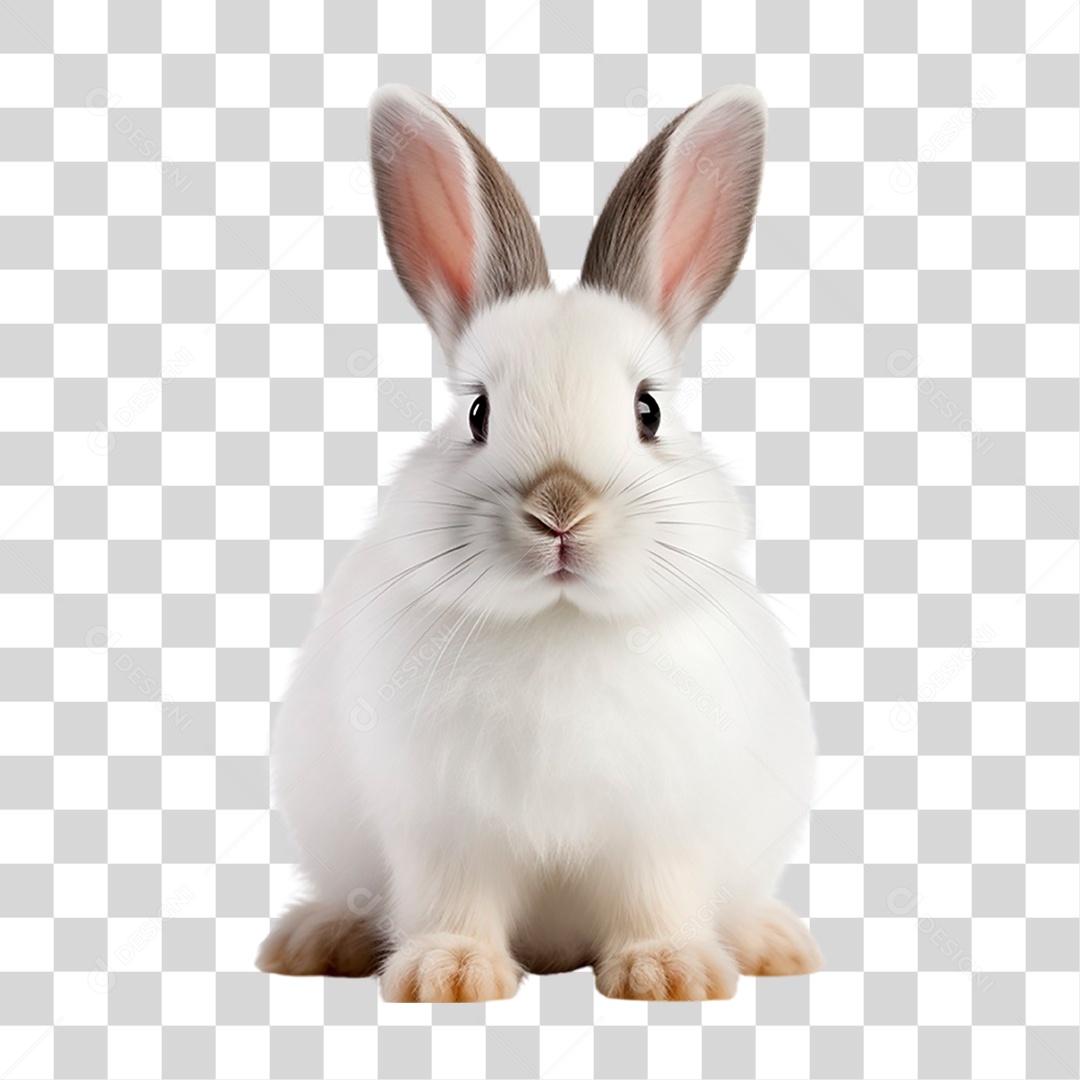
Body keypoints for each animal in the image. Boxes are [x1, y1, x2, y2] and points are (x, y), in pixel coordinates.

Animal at [256, 83, 822, 1002]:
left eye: (647, 410)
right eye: (478, 412)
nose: (561, 509)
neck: (560, 625)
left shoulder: (661, 828)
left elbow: (656, 895)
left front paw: (669, 973)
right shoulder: (444, 828)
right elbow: (454, 899)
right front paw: (450, 975)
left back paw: (770, 944)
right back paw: (317, 940)